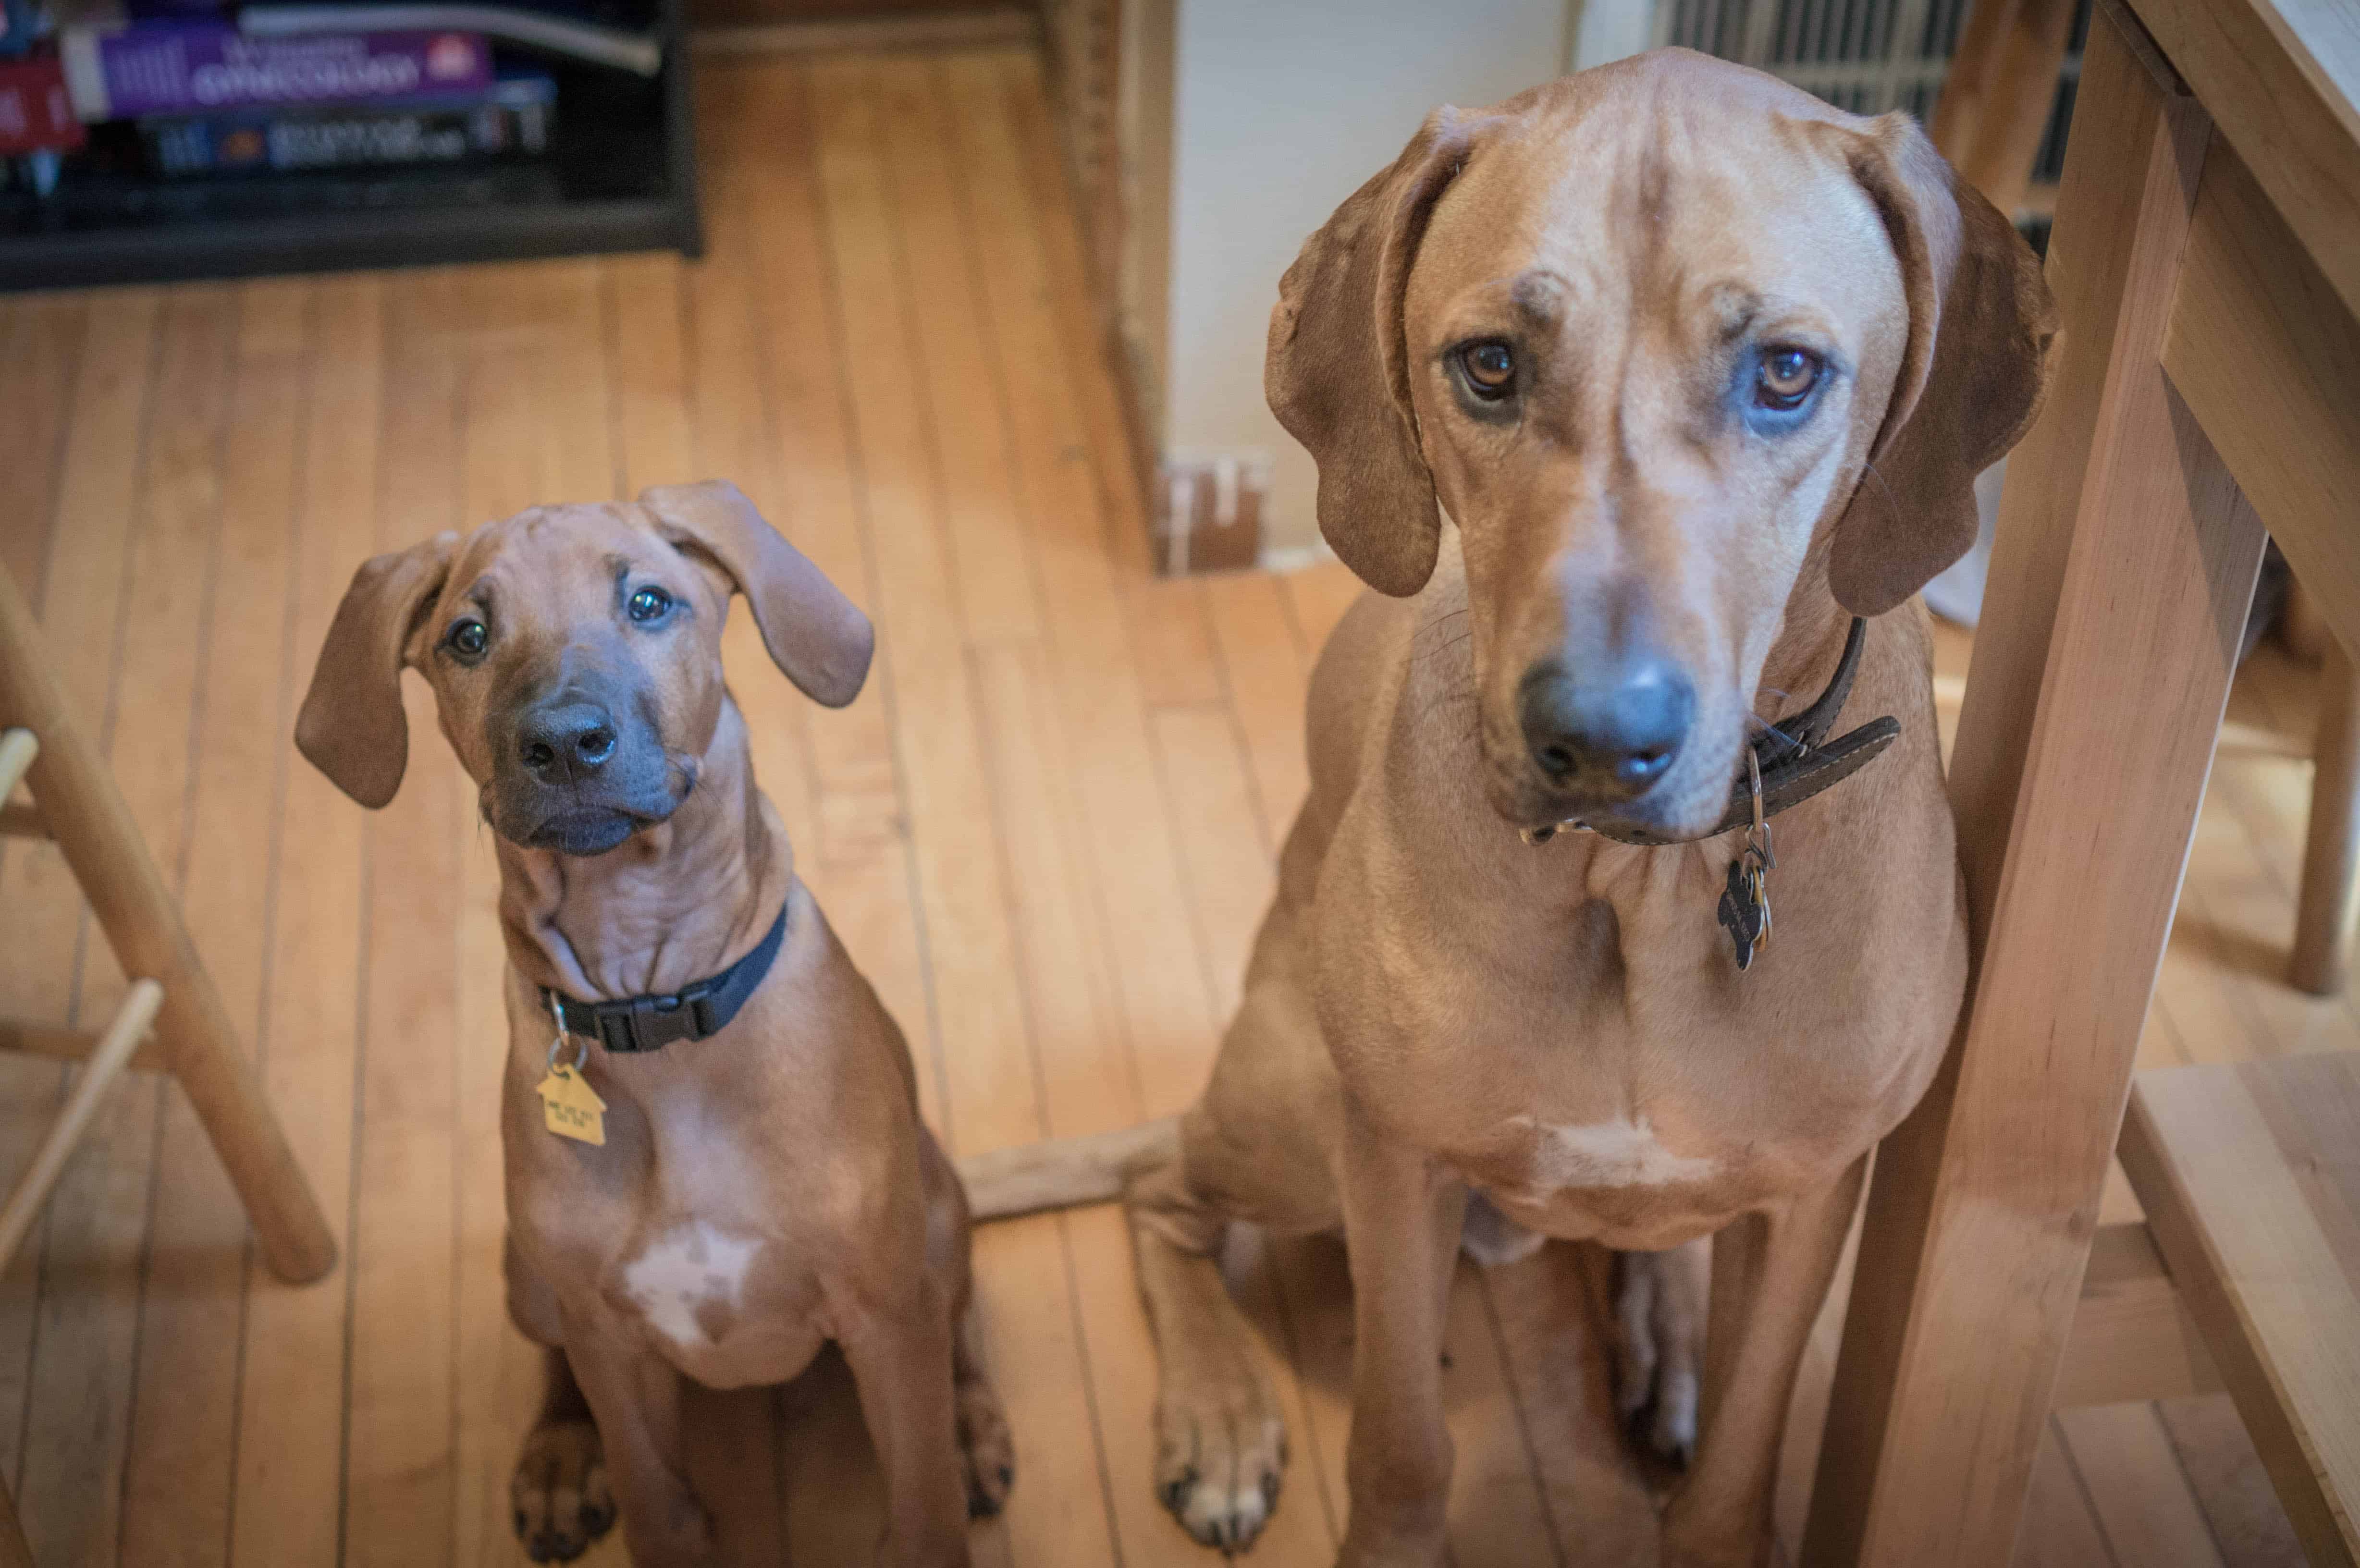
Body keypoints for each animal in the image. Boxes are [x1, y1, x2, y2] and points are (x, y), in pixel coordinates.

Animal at [297, 484, 1015, 1558]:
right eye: (469, 635)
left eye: (647, 603)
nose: (563, 742)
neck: (657, 1007)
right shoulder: (615, 1351)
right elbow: (655, 1504)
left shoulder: (884, 1314)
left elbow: (923, 1507)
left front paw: (947, 1455)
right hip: (531, 1276)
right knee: (556, 1361)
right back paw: (559, 1456)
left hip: (933, 1215)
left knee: (954, 1310)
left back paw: (971, 1424)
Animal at [967, 49, 2058, 1568]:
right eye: (1489, 365)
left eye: (1786, 372)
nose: (1599, 741)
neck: (1644, 888)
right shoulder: (1392, 1159)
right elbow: (1399, 1448)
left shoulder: (1811, 1194)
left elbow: (1741, 1462)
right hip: (1295, 1102)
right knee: (1162, 1198)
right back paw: (1221, 1418)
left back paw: (1665, 1343)